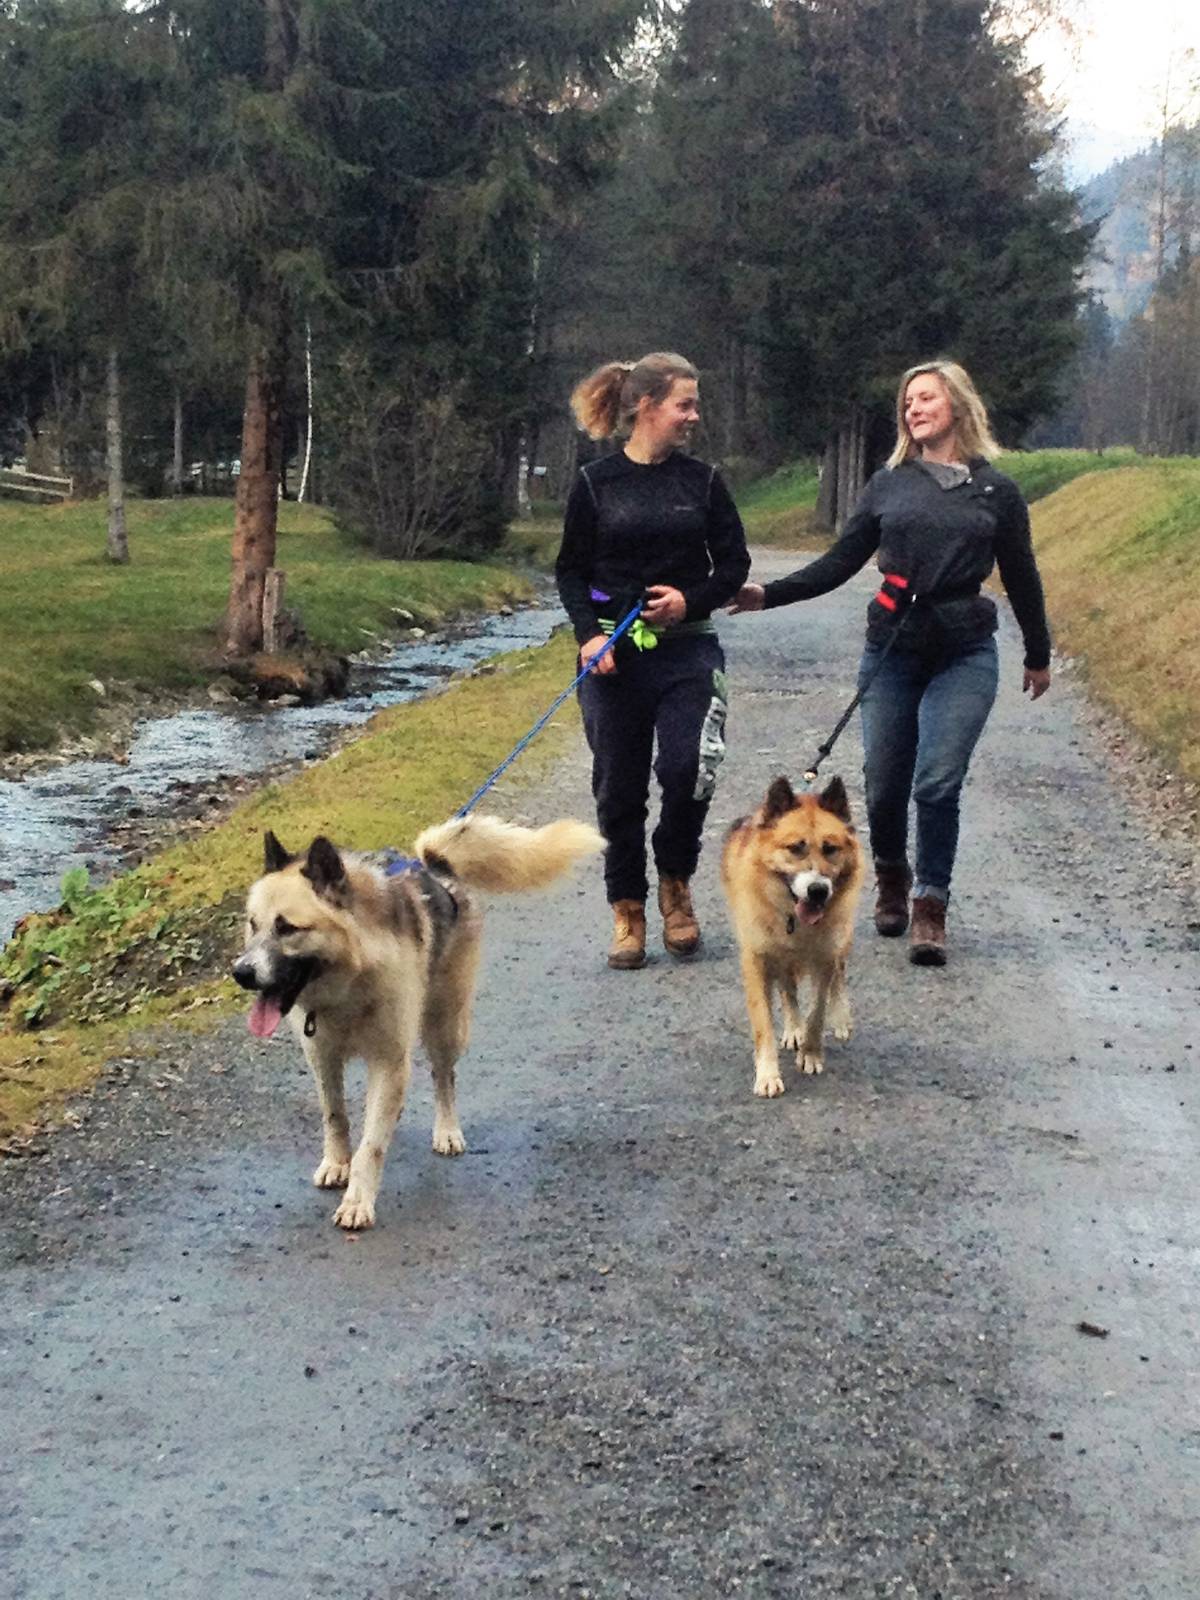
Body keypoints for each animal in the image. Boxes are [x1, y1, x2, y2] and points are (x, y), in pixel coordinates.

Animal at [233, 819, 604, 1228]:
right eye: (253, 925)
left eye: (287, 928)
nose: (240, 973)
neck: (351, 981)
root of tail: (435, 866)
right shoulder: (322, 1056)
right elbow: (335, 1116)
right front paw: (336, 1162)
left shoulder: (389, 1058)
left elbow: (371, 1146)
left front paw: (358, 1199)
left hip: (446, 1025)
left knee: (444, 1078)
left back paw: (447, 1129)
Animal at [723, 777, 864, 1100]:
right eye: (795, 848)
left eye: (830, 848)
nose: (818, 890)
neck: (793, 919)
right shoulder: (757, 960)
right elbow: (764, 1023)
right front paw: (767, 1075)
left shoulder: (825, 957)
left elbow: (818, 1010)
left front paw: (811, 1054)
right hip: (780, 959)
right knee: (788, 990)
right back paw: (793, 1027)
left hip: (841, 939)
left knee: (839, 975)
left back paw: (839, 1018)